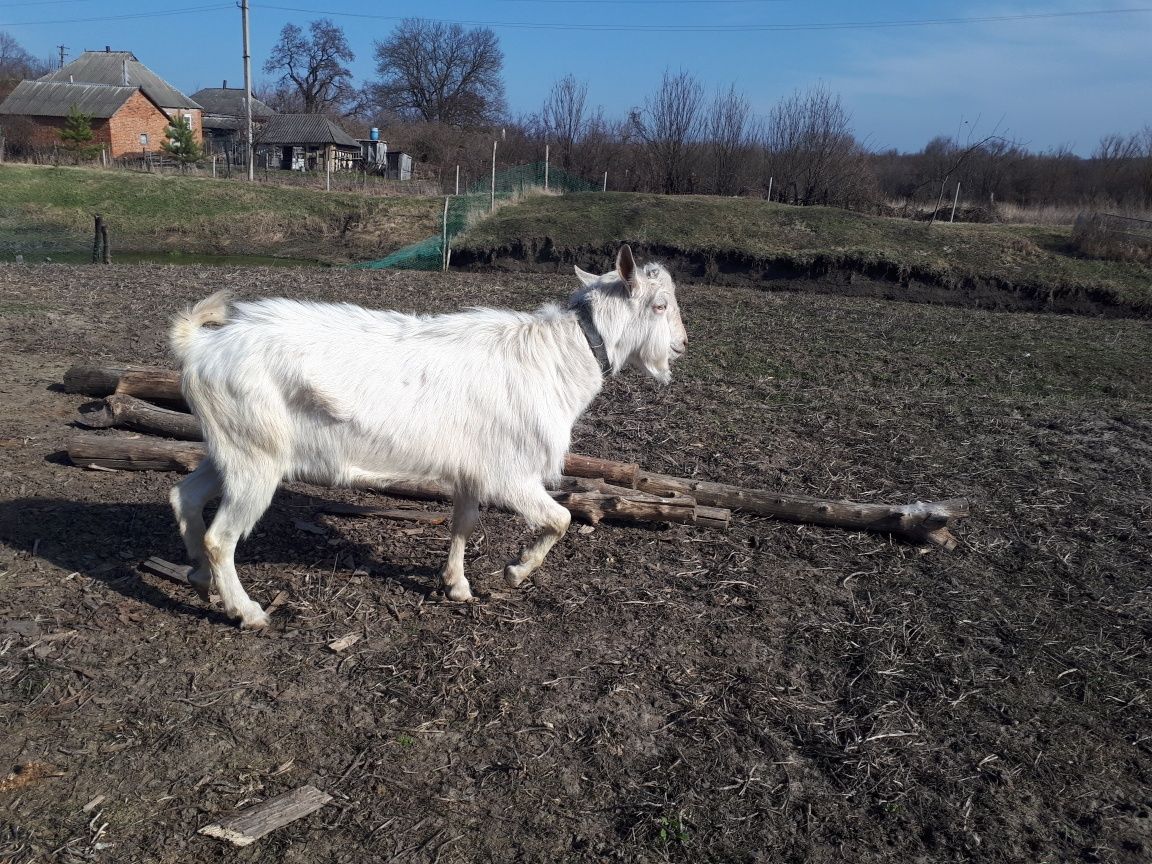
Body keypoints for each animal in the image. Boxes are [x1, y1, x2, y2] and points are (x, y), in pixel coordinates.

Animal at [168, 244, 686, 631]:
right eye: (659, 305)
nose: (682, 346)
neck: (559, 356)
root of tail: (200, 345)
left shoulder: (473, 469)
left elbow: (463, 523)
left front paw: (456, 585)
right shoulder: (510, 473)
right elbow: (559, 519)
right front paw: (513, 572)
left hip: (232, 446)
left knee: (184, 495)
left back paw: (198, 576)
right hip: (256, 455)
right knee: (221, 536)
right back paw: (247, 611)